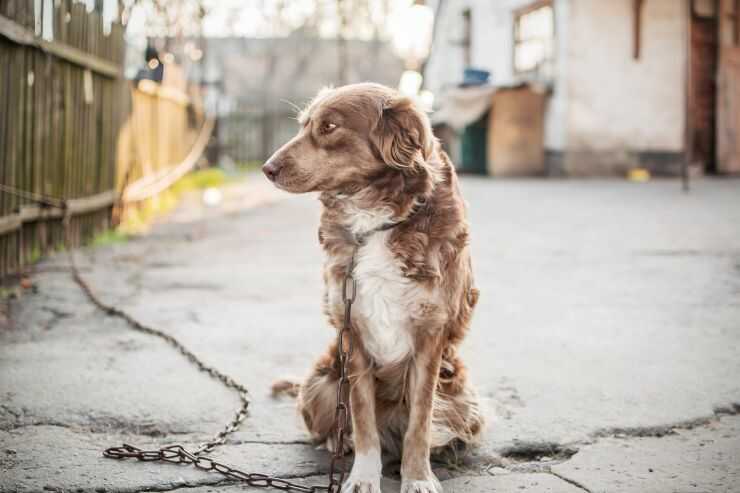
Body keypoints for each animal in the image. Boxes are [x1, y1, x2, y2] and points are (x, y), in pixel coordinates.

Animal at [264, 83, 482, 492]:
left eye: (329, 126)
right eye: (304, 125)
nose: (266, 169)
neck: (375, 221)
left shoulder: (430, 334)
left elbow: (420, 421)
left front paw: (418, 477)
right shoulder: (354, 333)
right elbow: (363, 419)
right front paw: (363, 476)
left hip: (462, 396)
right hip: (322, 383)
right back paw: (340, 442)